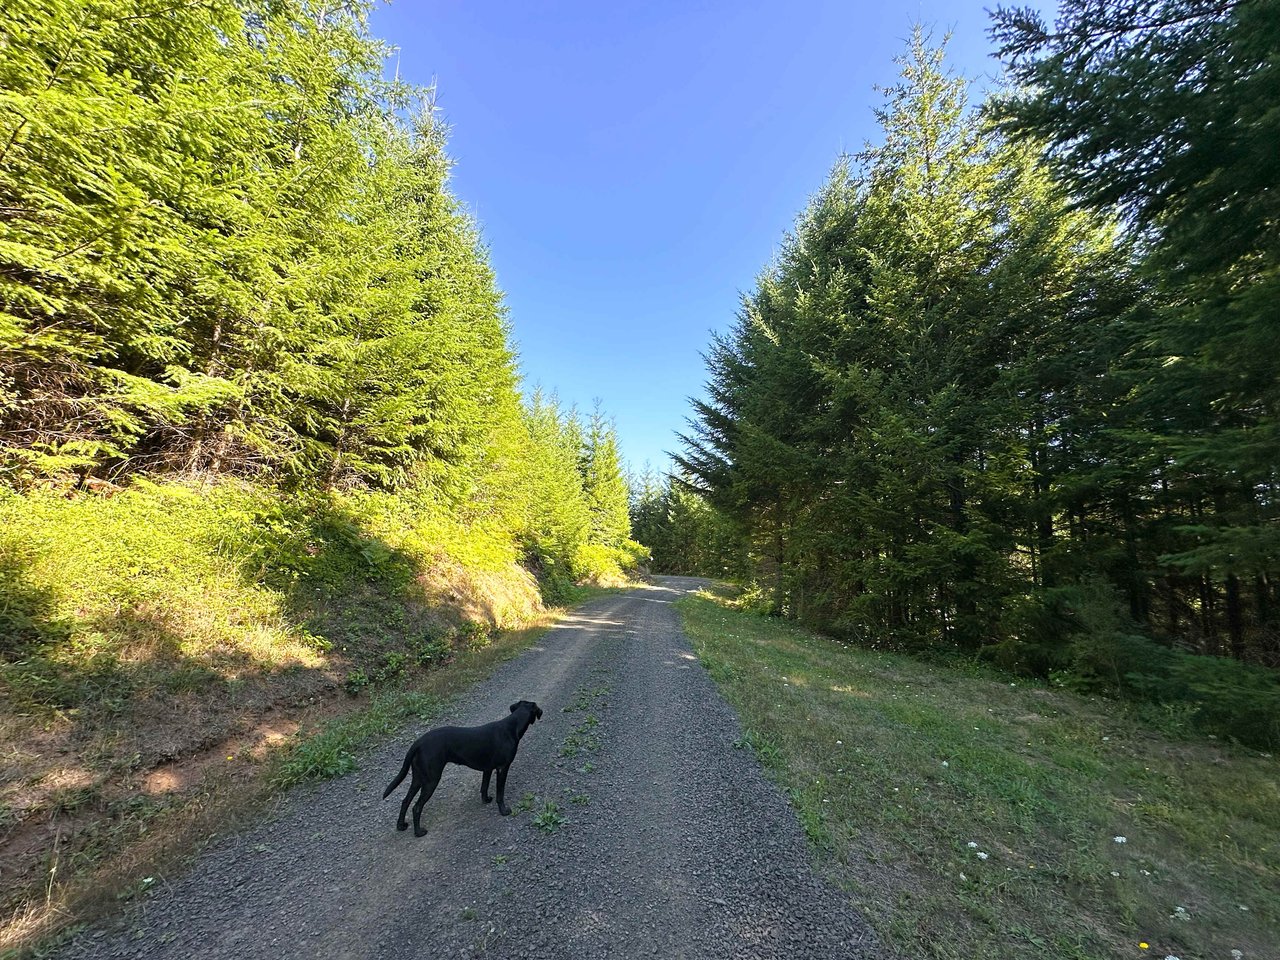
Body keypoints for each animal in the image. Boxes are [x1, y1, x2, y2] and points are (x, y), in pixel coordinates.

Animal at [378, 701, 540, 839]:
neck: (511, 727)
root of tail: (418, 742)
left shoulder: (487, 769)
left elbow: (484, 787)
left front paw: (486, 800)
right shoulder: (502, 768)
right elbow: (500, 793)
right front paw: (504, 811)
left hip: (418, 778)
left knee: (405, 801)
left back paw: (401, 826)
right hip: (431, 780)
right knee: (416, 807)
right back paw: (418, 832)